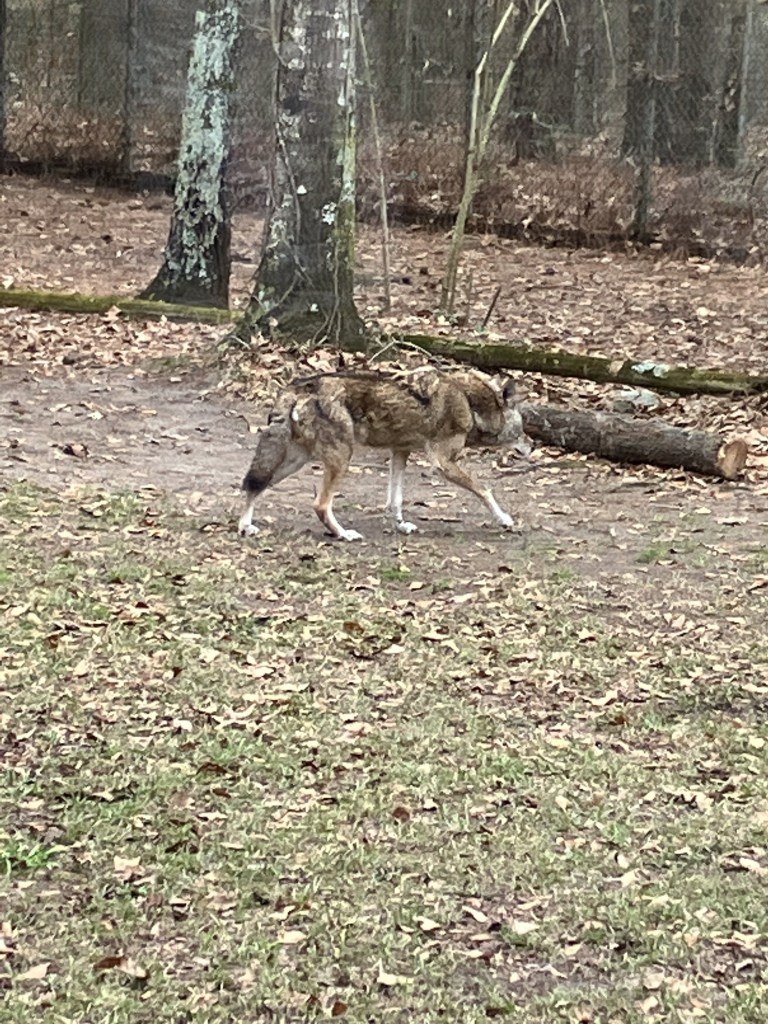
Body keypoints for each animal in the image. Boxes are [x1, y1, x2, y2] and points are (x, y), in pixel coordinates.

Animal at [238, 368, 531, 542]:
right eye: (523, 429)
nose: (532, 446)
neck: (470, 402)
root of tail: (298, 387)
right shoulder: (443, 463)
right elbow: (485, 490)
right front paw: (504, 520)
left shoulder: (400, 452)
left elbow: (395, 500)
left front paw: (401, 526)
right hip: (341, 458)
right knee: (320, 505)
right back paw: (344, 534)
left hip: (294, 461)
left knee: (253, 486)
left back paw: (246, 527)